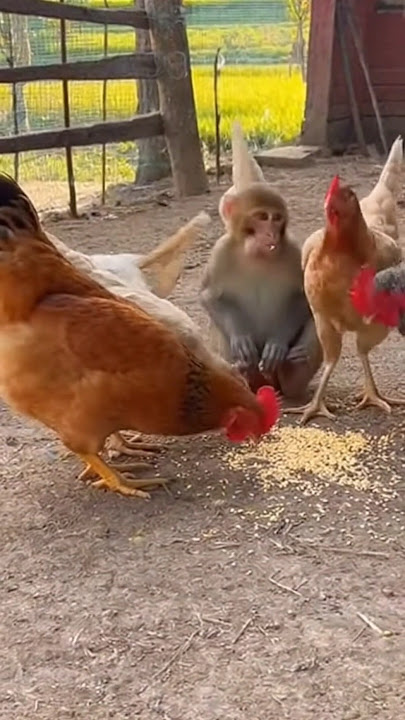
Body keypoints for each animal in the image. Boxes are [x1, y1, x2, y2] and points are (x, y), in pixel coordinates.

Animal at [200, 182, 323, 399]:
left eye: (277, 218)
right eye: (262, 217)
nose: (271, 234)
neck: (256, 254)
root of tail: (267, 384)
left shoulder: (293, 249)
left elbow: (303, 296)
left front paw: (277, 343)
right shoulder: (220, 250)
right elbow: (211, 297)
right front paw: (241, 338)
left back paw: (292, 371)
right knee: (218, 327)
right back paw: (242, 370)